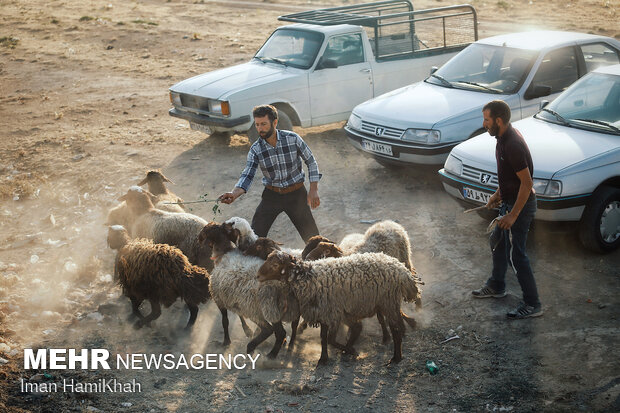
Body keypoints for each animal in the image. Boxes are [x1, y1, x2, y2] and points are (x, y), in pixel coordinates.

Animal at [256, 251, 422, 364]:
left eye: (275, 265)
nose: (257, 276)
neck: (307, 277)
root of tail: (403, 271)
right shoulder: (323, 311)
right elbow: (324, 338)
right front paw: (323, 359)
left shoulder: (333, 312)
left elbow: (330, 339)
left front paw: (350, 351)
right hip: (384, 303)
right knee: (383, 326)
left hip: (388, 302)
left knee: (396, 330)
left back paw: (396, 357)